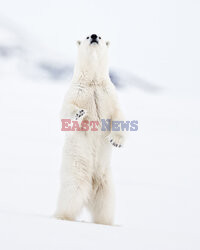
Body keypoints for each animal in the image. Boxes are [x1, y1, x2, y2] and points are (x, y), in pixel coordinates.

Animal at [55, 34, 125, 226]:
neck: (93, 82)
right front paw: (79, 113)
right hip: (76, 170)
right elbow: (66, 112)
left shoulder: (109, 94)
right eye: (87, 36)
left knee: (106, 205)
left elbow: (118, 115)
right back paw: (62, 216)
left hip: (106, 182)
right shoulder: (77, 92)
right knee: (72, 194)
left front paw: (115, 141)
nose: (93, 36)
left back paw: (106, 223)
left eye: (100, 36)